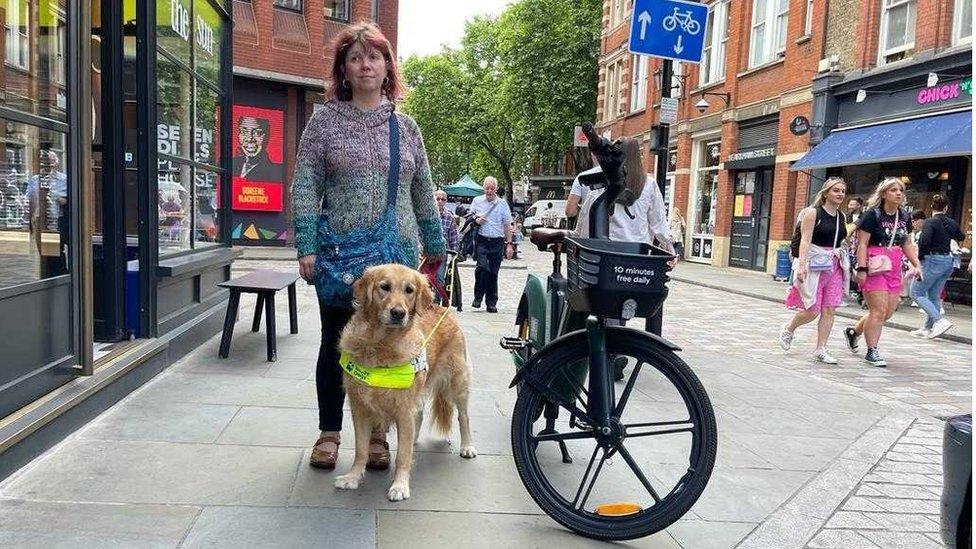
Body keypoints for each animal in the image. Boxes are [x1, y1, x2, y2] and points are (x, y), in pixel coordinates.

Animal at [334, 262, 474, 500]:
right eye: (384, 287)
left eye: (409, 290)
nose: (398, 313)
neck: (380, 345)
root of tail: (443, 309)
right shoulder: (360, 407)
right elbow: (361, 449)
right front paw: (353, 476)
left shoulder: (404, 409)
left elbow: (402, 455)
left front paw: (399, 486)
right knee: (419, 418)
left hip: (457, 383)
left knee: (463, 417)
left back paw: (467, 446)